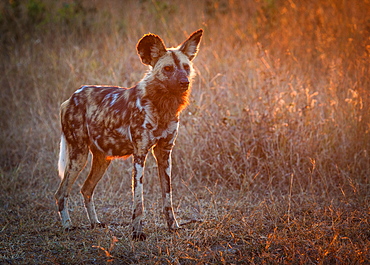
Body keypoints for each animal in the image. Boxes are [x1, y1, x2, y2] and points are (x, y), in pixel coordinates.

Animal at [55, 29, 202, 239]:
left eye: (185, 67)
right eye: (167, 69)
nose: (185, 82)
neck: (162, 105)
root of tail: (72, 97)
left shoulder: (164, 153)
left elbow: (168, 197)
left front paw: (173, 227)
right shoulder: (140, 154)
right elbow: (138, 200)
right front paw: (137, 233)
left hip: (102, 159)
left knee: (86, 189)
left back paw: (95, 223)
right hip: (78, 157)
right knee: (61, 193)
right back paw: (67, 226)